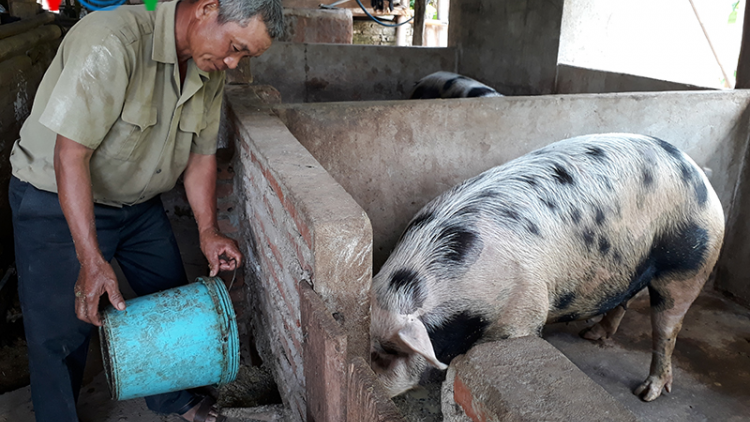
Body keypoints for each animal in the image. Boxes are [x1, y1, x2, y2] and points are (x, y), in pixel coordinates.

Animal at [374, 134, 724, 400]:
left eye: (389, 352)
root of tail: (699, 173)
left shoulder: (524, 310)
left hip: (690, 264)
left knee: (667, 329)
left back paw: (647, 393)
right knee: (623, 299)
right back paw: (592, 335)